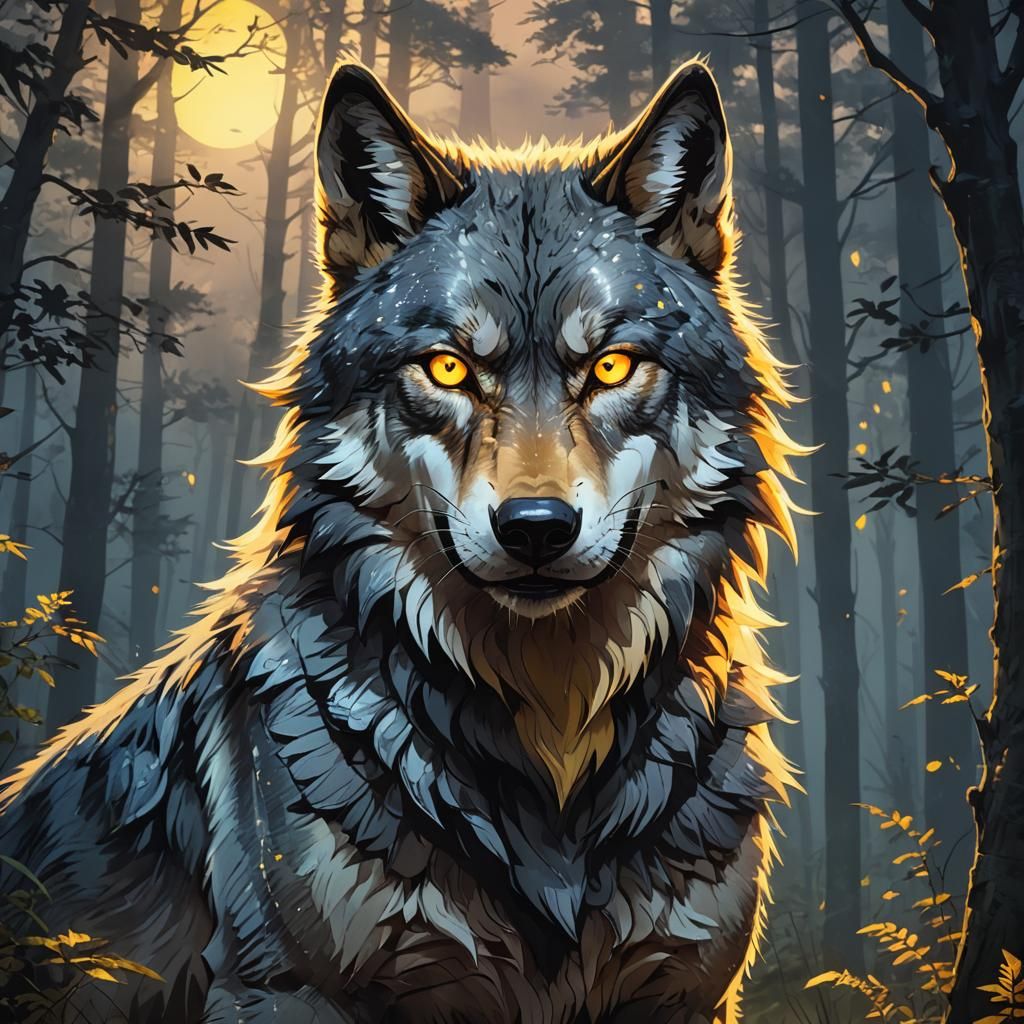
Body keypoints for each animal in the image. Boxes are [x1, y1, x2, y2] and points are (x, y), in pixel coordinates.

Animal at [0, 60, 801, 1023]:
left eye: (610, 366)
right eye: (448, 367)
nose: (536, 529)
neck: (554, 740)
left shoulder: (685, 998)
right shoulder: (286, 989)